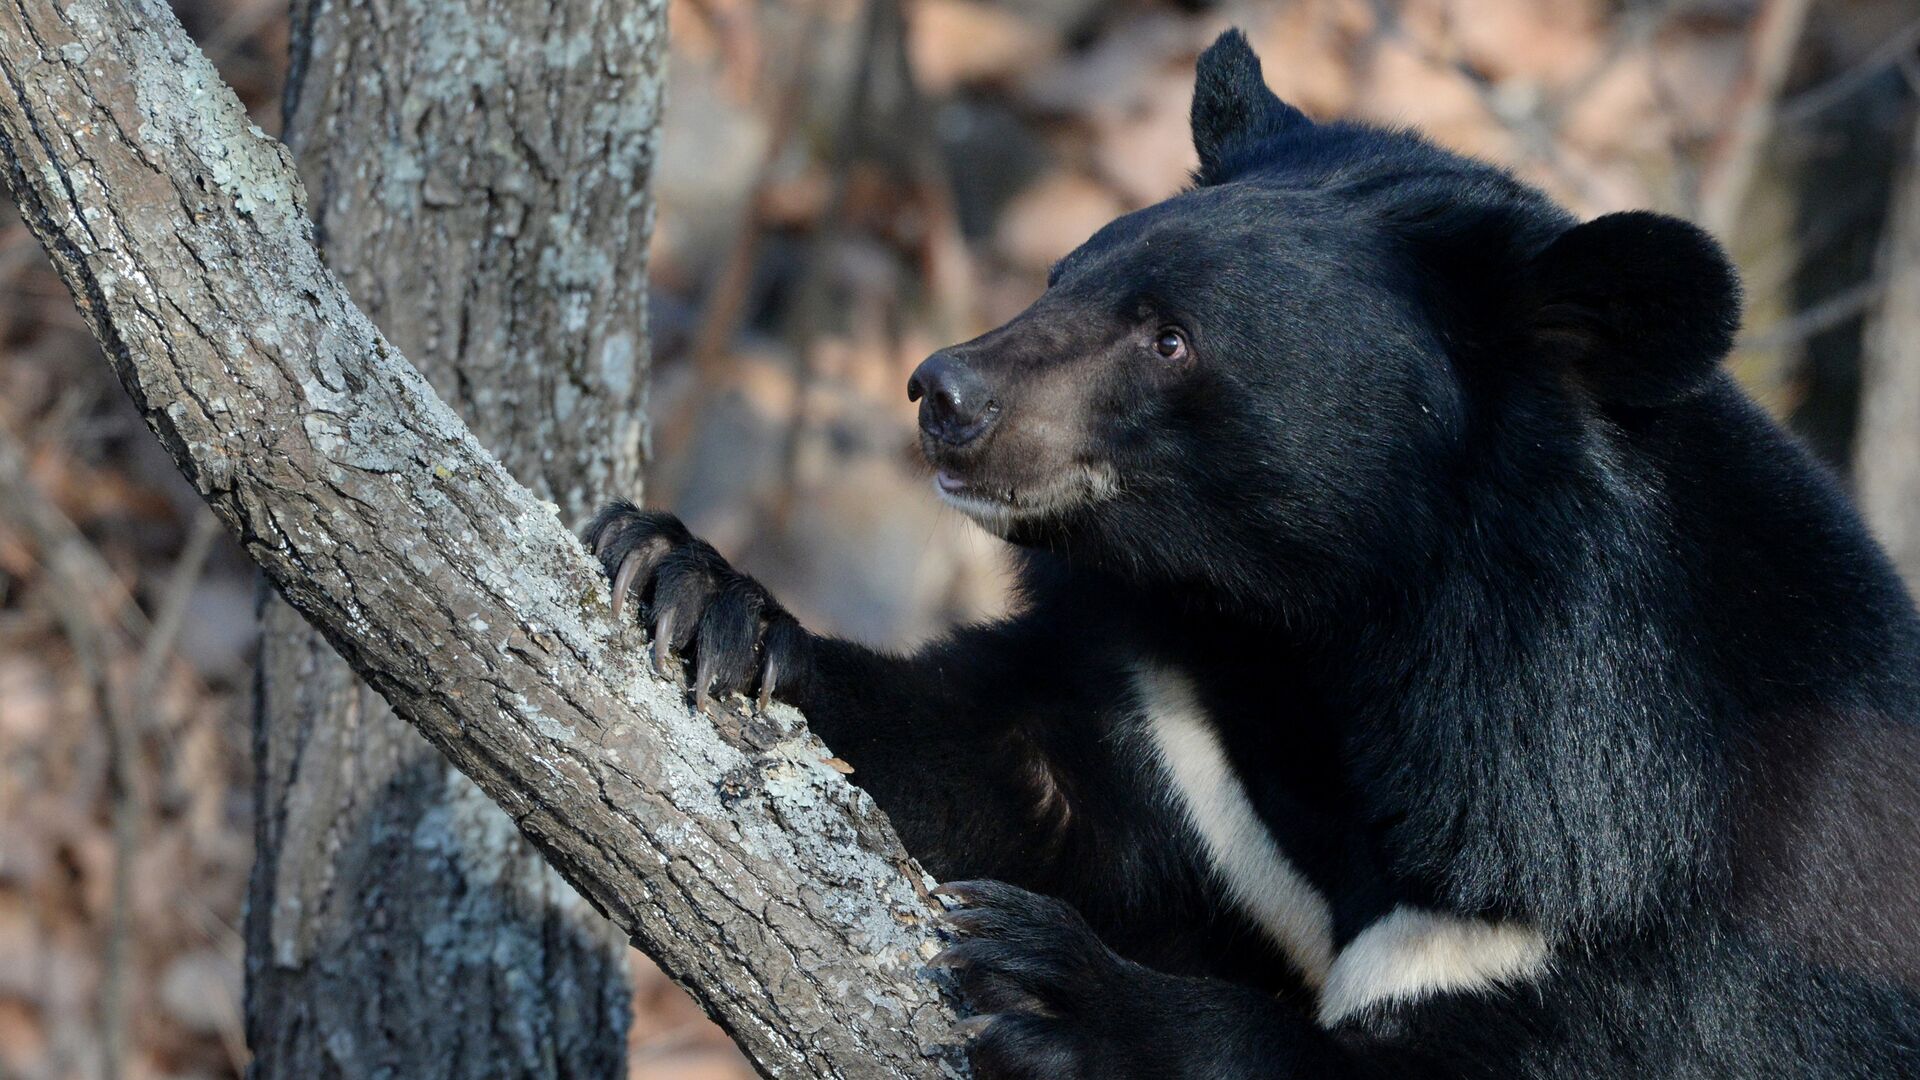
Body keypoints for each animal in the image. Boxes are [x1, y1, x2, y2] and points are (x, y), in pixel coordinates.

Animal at [579, 29, 1920, 1068]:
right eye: (1064, 271)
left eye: (1170, 337)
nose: (943, 393)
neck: (1323, 627)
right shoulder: (1187, 733)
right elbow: (996, 766)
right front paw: (693, 588)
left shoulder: (1656, 906)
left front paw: (1061, 989)